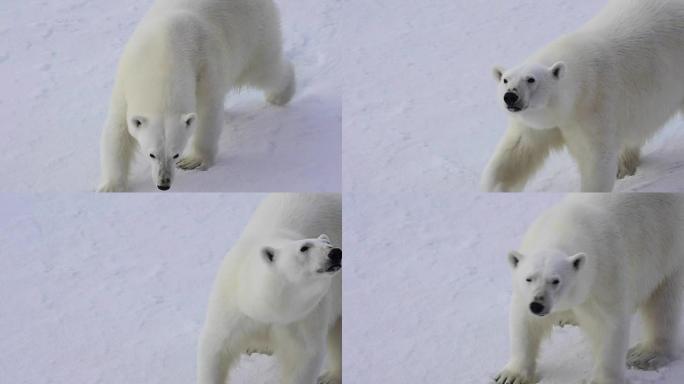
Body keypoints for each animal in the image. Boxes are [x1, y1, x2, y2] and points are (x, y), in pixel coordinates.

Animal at [97, 0, 296, 192]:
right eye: (151, 154)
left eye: (176, 154)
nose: (164, 184)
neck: (162, 57)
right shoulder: (126, 81)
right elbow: (117, 130)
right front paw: (111, 186)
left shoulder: (204, 66)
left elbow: (208, 112)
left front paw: (194, 161)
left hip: (253, 31)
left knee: (264, 70)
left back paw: (280, 94)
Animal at [198, 194, 342, 384]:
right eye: (304, 247)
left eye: (328, 242)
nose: (335, 253)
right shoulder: (233, 307)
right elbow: (216, 349)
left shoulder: (305, 318)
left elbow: (303, 358)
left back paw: (330, 377)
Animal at [480, 0, 684, 192]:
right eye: (505, 79)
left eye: (531, 79)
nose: (510, 96)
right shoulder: (538, 123)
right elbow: (518, 151)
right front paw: (493, 188)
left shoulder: (594, 106)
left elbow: (595, 159)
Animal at [496, 195, 684, 384]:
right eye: (529, 278)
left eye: (556, 281)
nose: (537, 305)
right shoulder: (525, 294)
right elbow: (525, 322)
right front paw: (510, 376)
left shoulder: (605, 275)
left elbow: (608, 324)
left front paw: (603, 379)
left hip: (669, 245)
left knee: (663, 305)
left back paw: (646, 355)